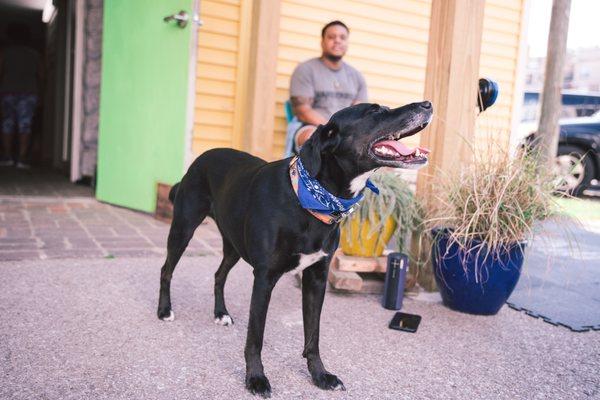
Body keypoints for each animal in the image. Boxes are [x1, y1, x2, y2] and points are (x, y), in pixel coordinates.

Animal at [157, 102, 434, 396]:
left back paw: (220, 313)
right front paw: (256, 378)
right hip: (184, 228)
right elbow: (255, 337)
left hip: (234, 245)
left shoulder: (316, 277)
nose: (427, 104)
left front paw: (320, 375)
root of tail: (203, 157)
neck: (313, 198)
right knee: (166, 269)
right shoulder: (264, 278)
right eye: (374, 112)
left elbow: (313, 335)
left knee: (219, 275)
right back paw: (164, 310)